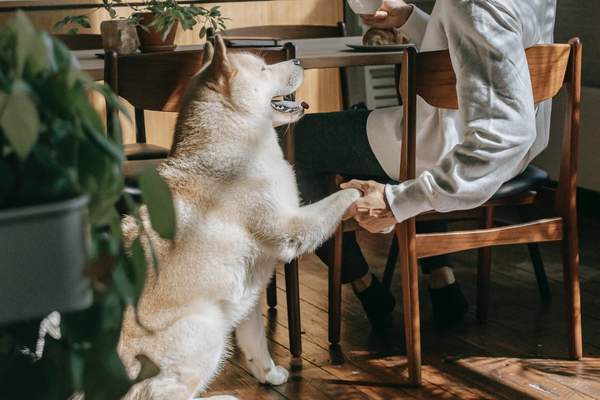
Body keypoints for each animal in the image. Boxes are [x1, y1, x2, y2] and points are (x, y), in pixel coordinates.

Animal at [118, 36, 360, 398]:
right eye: (263, 68)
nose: (299, 60)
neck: (238, 142)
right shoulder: (292, 230)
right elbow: (340, 197)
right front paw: (367, 191)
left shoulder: (247, 294)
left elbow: (255, 341)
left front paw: (269, 374)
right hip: (206, 326)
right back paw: (224, 395)